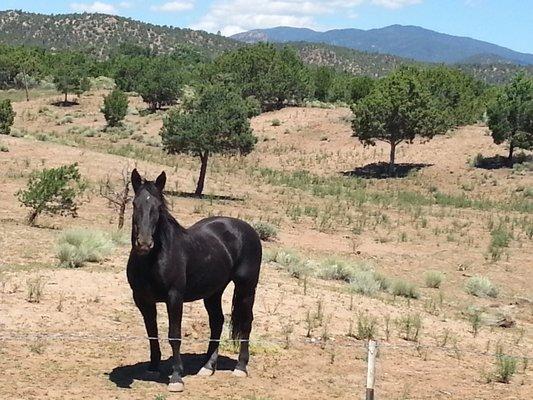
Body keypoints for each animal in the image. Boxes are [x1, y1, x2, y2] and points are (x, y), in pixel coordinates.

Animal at [125, 169, 262, 390]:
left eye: (158, 207)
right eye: (135, 204)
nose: (144, 243)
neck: (155, 259)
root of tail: (247, 229)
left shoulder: (174, 298)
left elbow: (174, 335)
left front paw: (176, 377)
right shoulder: (142, 300)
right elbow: (152, 332)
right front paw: (153, 367)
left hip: (246, 288)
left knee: (246, 323)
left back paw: (240, 367)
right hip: (213, 292)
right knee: (217, 321)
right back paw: (207, 366)